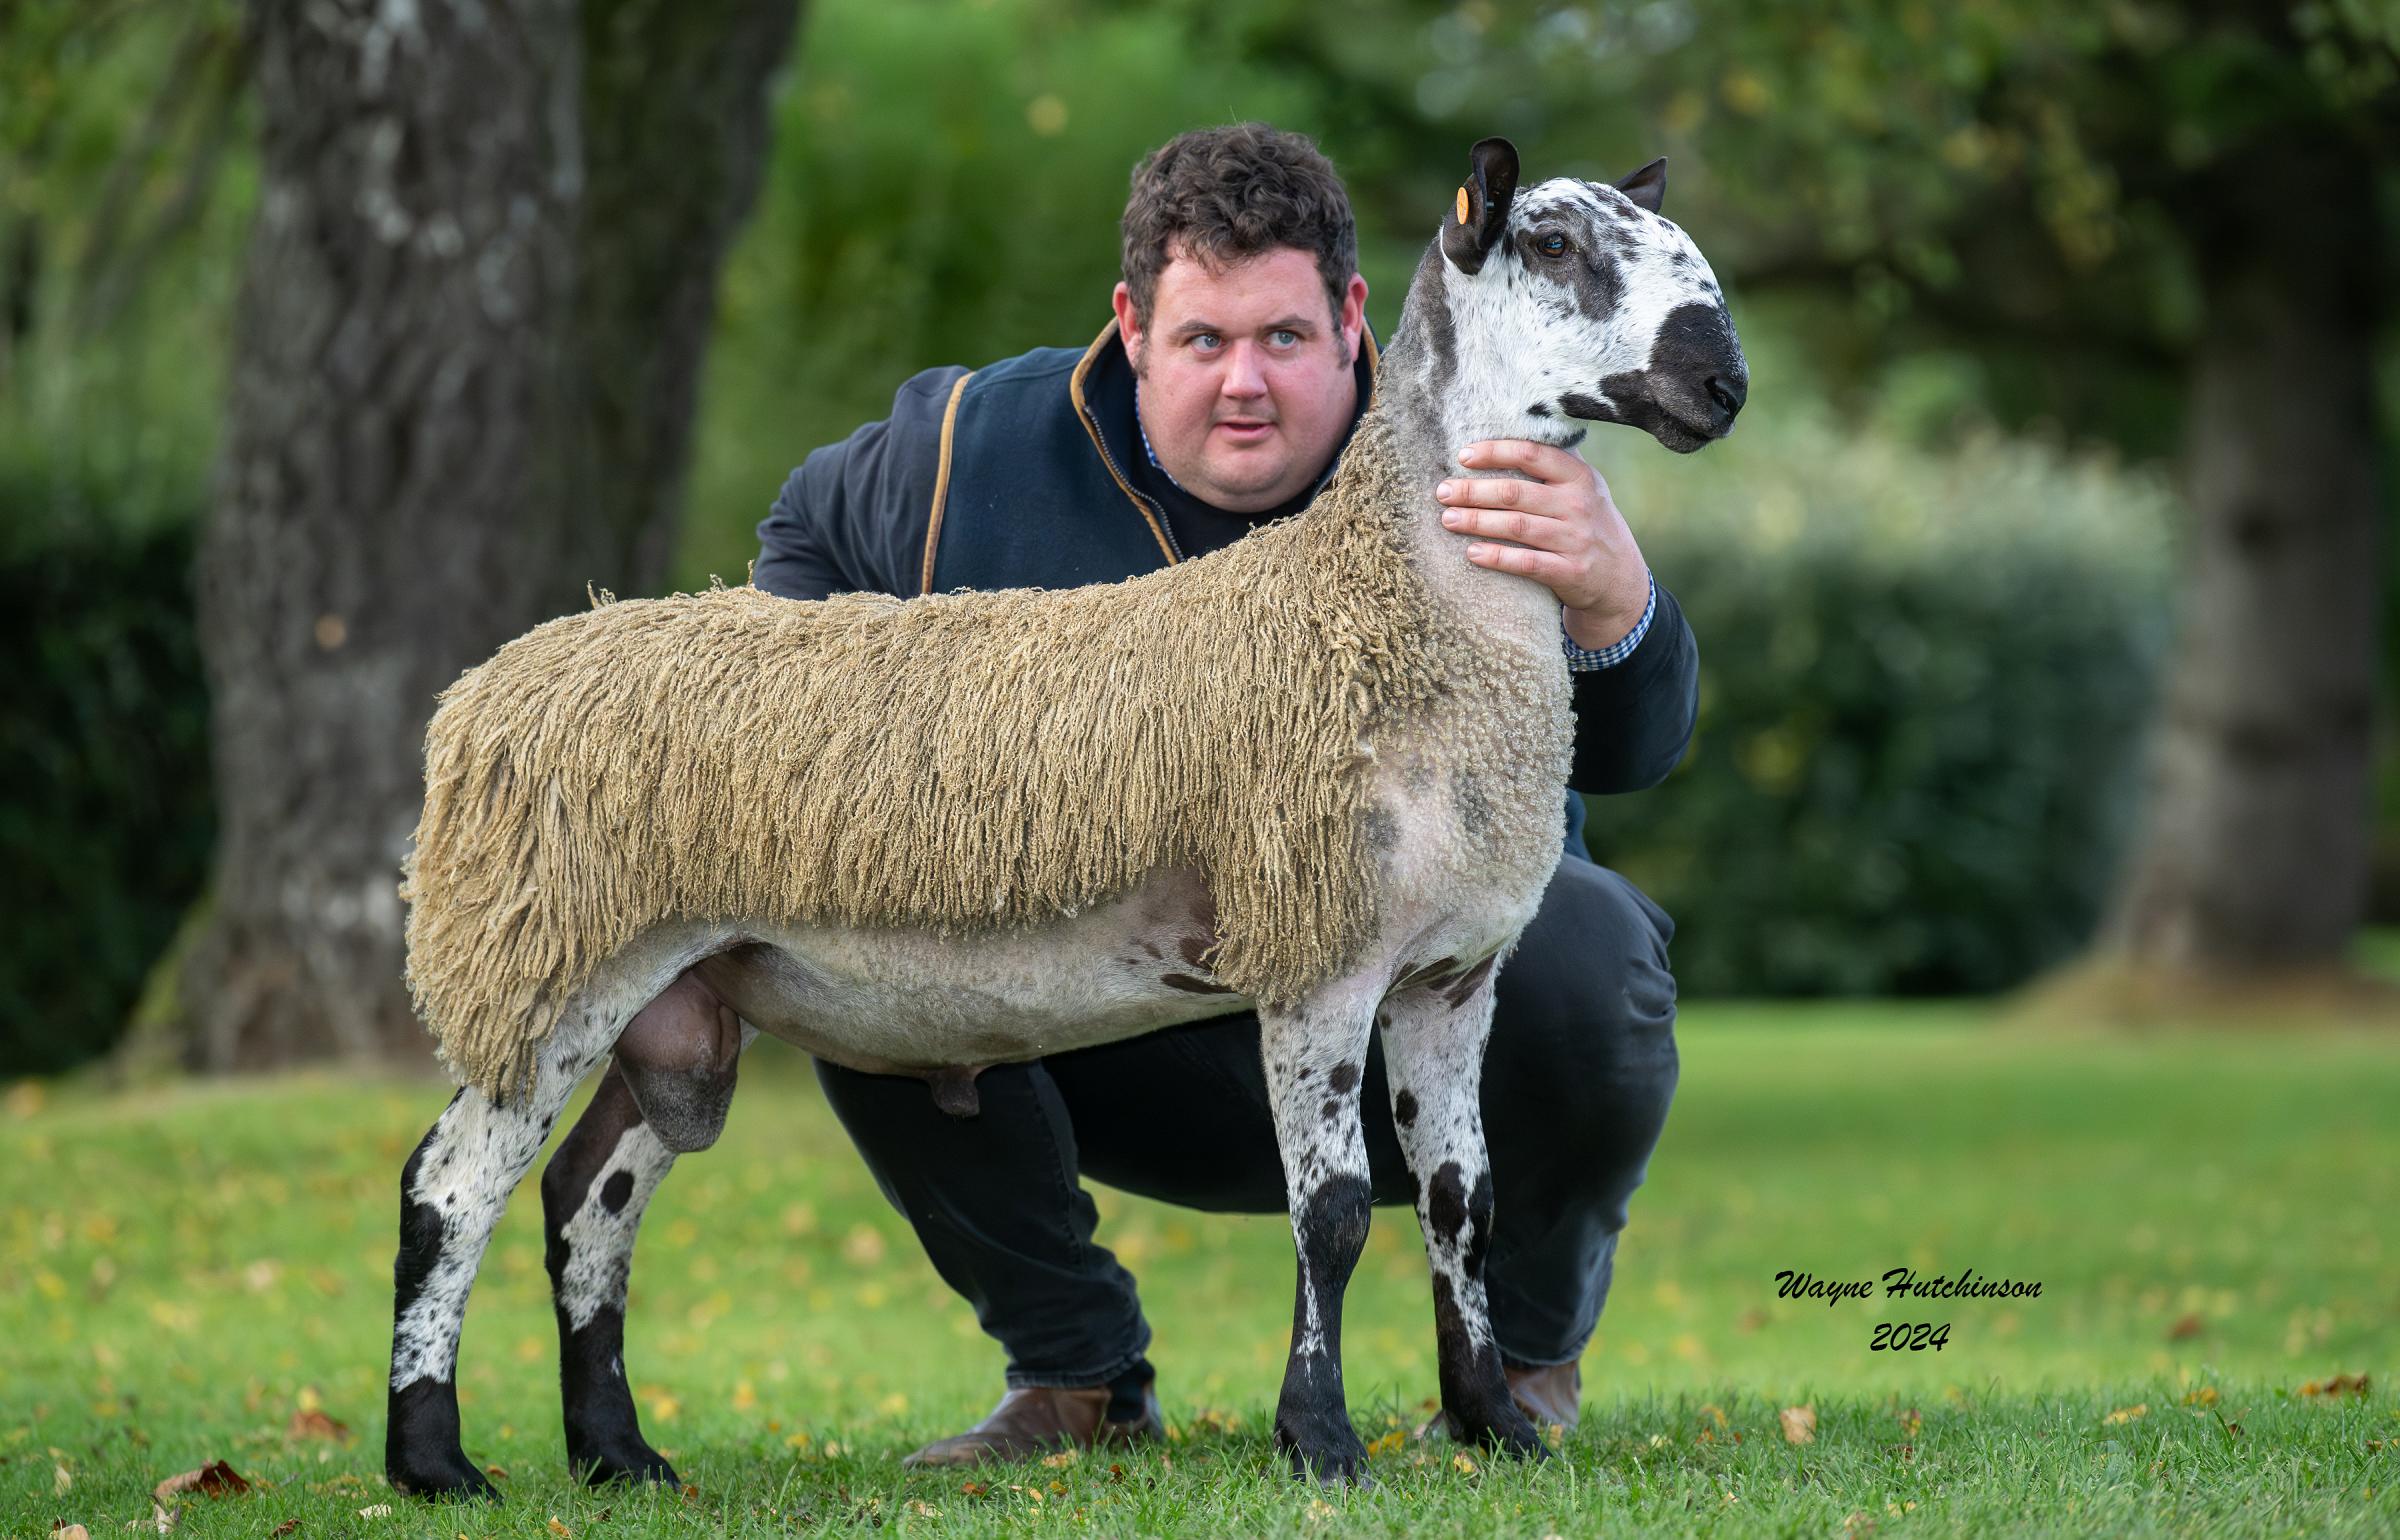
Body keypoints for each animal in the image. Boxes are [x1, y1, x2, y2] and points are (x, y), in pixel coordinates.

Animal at [384, 137, 1756, 1496]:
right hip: (547, 959)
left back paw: (618, 1454)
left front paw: (1493, 1427)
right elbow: (1333, 1214)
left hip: (682, 1003)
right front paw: (1319, 1442)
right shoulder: (1317, 949)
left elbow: (1461, 1200)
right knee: (448, 1189)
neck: (1388, 604)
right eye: (1555, 244)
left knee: (586, 1199)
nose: (1723, 382)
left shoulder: (1450, 973)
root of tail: (485, 692)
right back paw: (434, 1460)